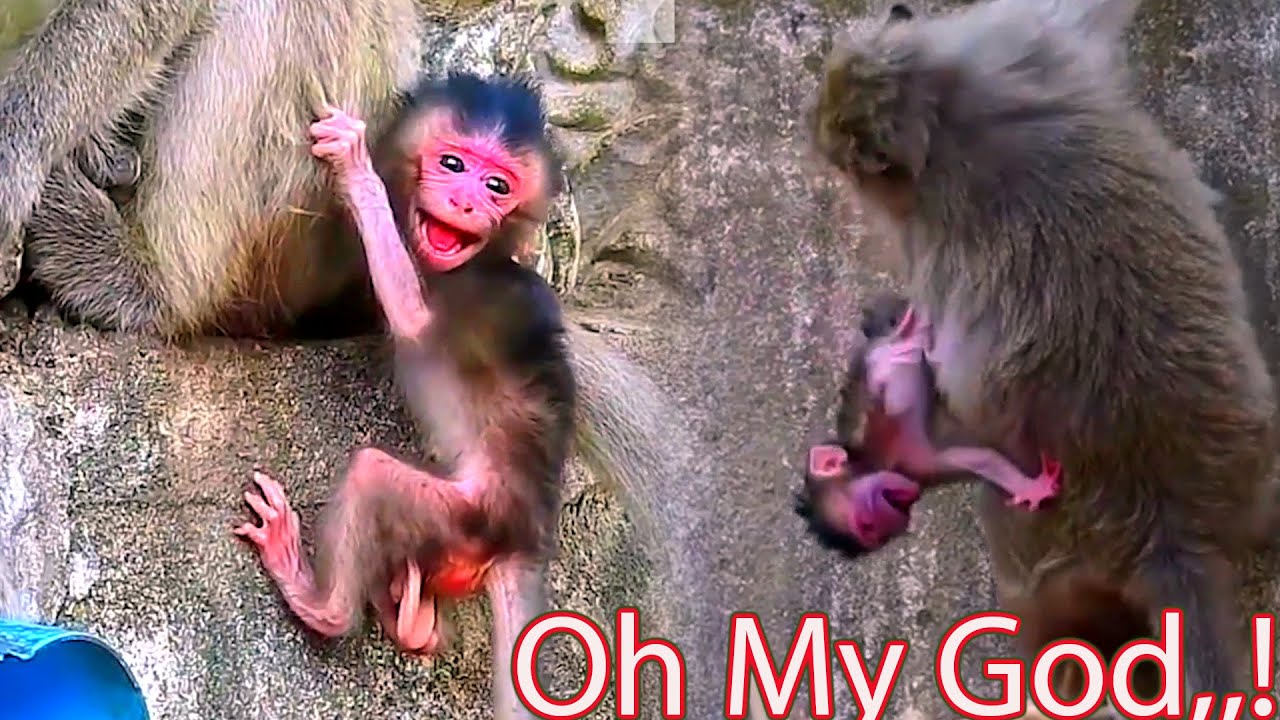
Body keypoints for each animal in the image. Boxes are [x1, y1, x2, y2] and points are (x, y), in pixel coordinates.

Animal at [234, 73, 570, 718]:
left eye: (496, 185)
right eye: (452, 164)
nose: (467, 203)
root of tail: (524, 535)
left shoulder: (474, 301)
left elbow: (411, 318)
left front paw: (356, 168)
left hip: (467, 515)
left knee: (373, 478)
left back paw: (319, 601)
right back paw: (414, 621)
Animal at [795, 289, 1061, 555]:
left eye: (867, 525)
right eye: (873, 536)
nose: (890, 527)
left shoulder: (890, 443)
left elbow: (894, 398)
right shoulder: (916, 468)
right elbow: (978, 459)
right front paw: (1031, 489)